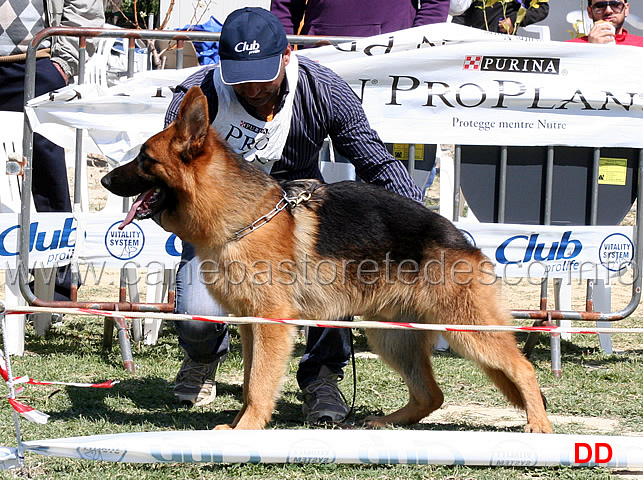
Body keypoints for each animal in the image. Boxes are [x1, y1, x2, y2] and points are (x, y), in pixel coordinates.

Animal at [102, 87, 552, 436]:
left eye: (145, 159)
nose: (105, 179)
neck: (245, 217)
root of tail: (460, 237)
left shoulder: (271, 326)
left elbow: (259, 384)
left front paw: (247, 429)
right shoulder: (251, 326)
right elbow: (248, 381)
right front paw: (242, 423)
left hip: (465, 329)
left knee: (523, 369)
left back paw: (540, 425)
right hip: (392, 336)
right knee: (431, 394)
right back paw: (388, 422)